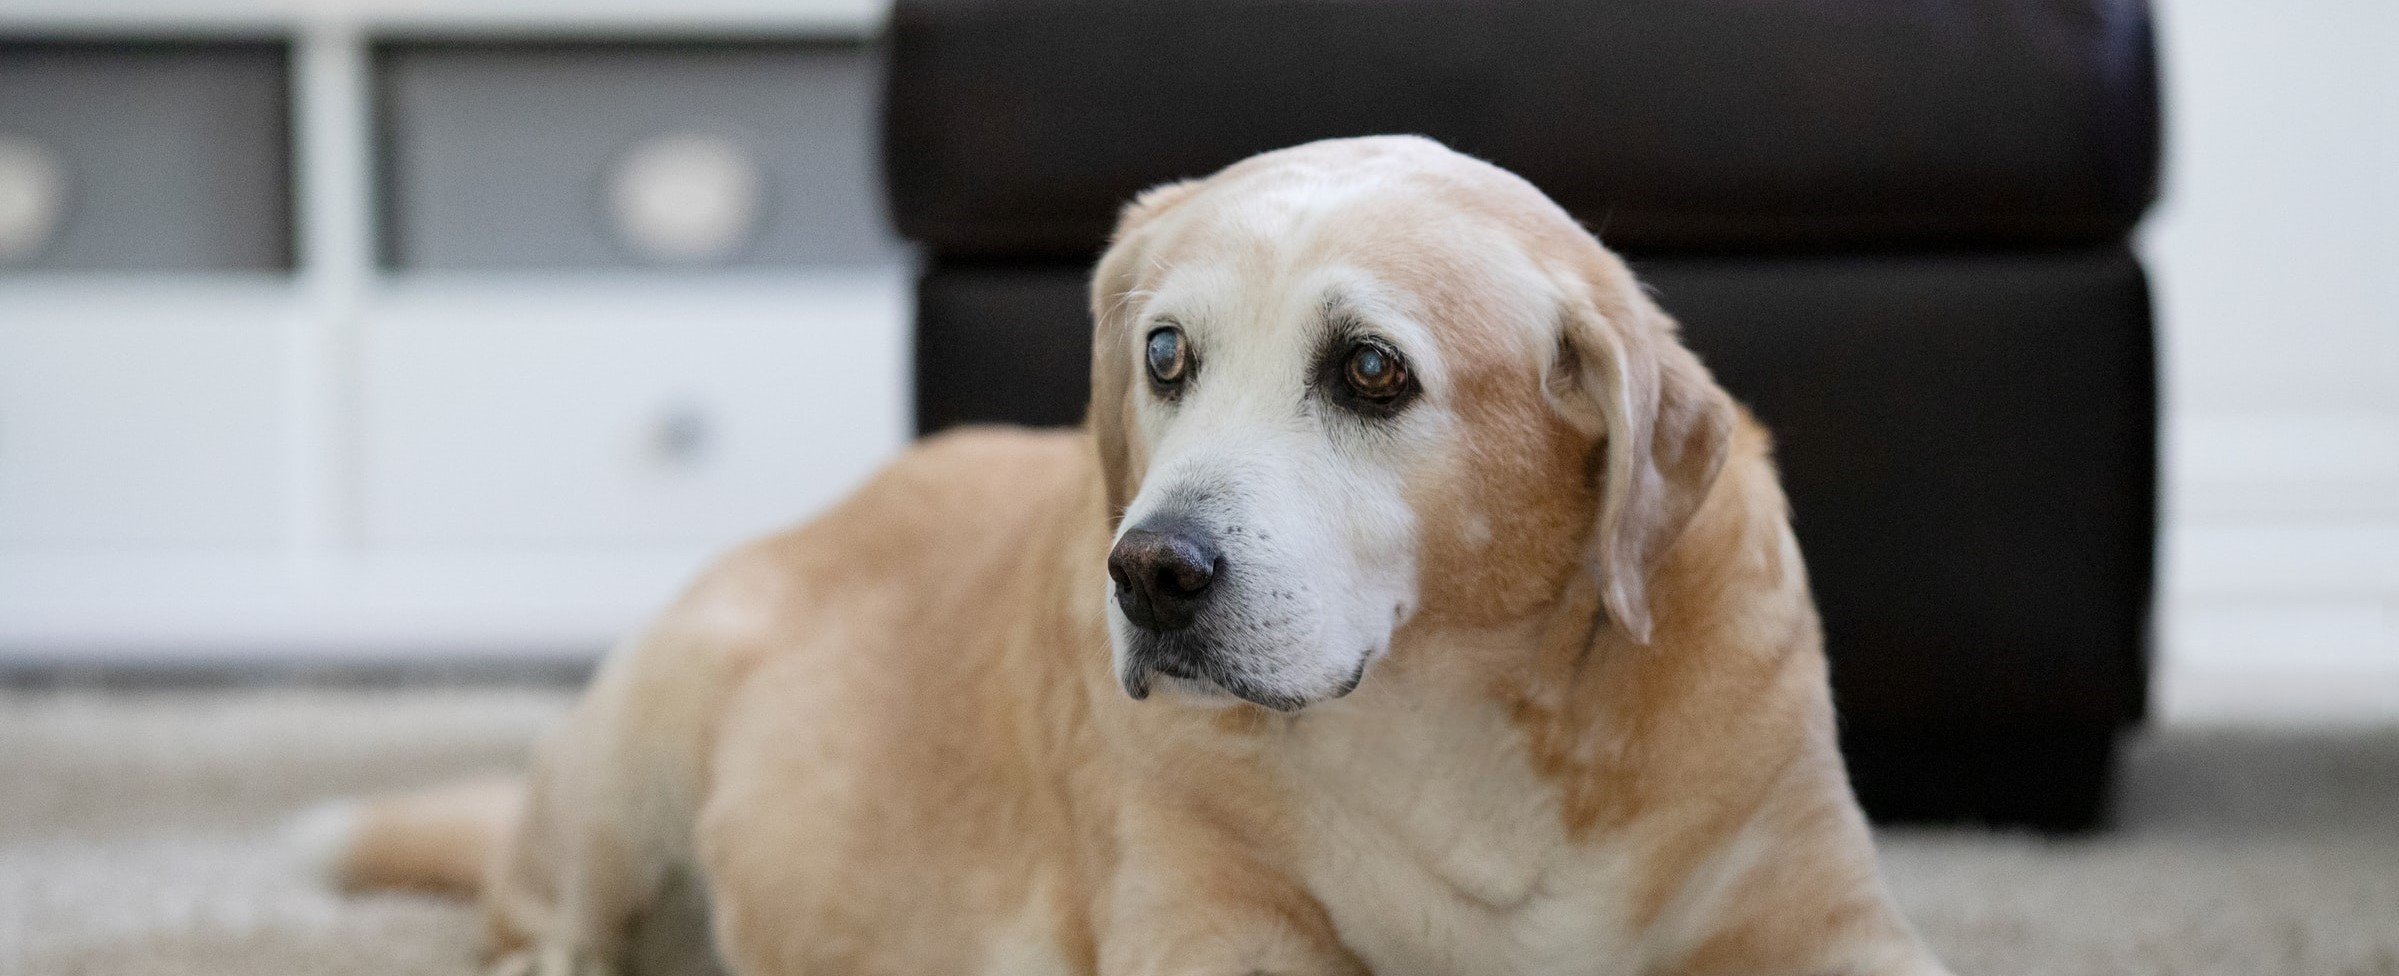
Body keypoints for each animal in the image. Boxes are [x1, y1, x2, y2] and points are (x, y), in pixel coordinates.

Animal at [319, 135, 1957, 976]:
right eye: (1164, 354)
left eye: (1370, 372)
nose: (1150, 571)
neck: (1450, 725)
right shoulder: (1210, 930)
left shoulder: (1825, 917)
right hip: (643, 748)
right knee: (535, 937)